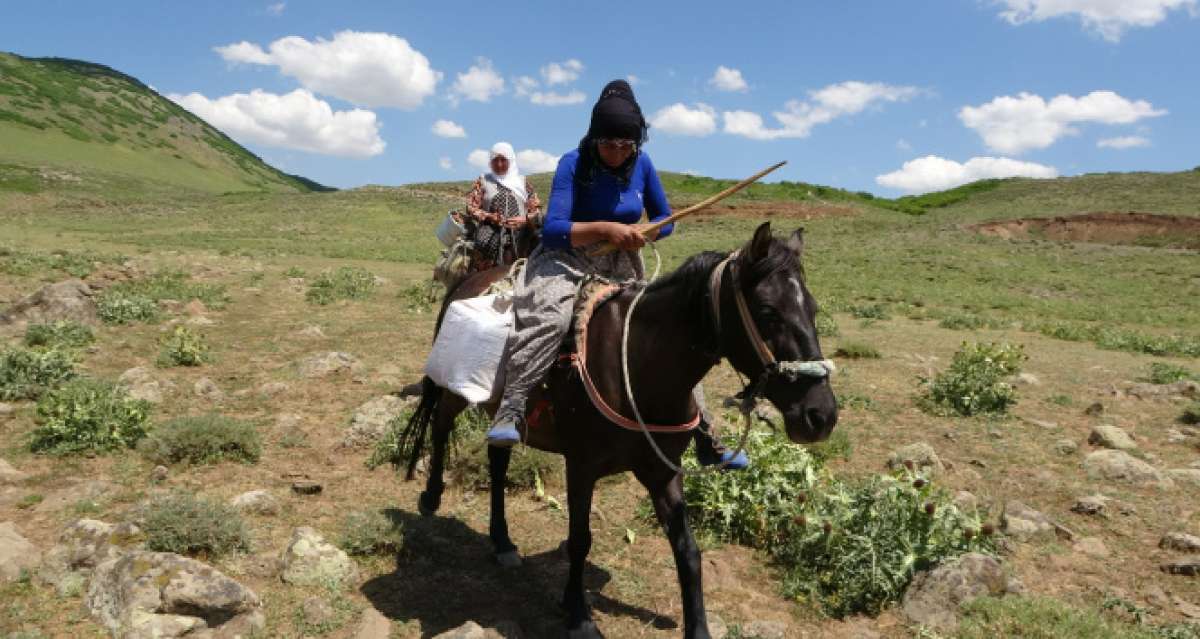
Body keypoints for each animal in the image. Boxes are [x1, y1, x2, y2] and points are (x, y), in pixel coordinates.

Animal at [398, 221, 840, 639]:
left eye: (814, 309)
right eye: (767, 311)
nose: (821, 416)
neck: (640, 365)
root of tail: (472, 279)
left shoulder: (663, 471)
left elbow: (688, 551)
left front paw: (697, 627)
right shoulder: (581, 467)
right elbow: (580, 540)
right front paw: (578, 616)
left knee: (497, 458)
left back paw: (502, 541)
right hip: (457, 393)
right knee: (441, 427)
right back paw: (431, 497)